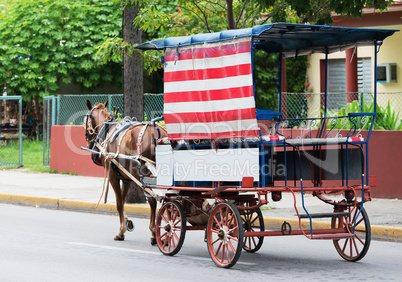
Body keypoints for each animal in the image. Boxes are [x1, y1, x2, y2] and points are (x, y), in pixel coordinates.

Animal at [84, 100, 167, 243]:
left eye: (86, 119)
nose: (89, 143)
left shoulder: (113, 175)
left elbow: (118, 203)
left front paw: (121, 231)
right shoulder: (126, 178)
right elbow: (122, 202)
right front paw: (127, 223)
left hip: (141, 176)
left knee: (153, 200)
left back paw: (154, 232)